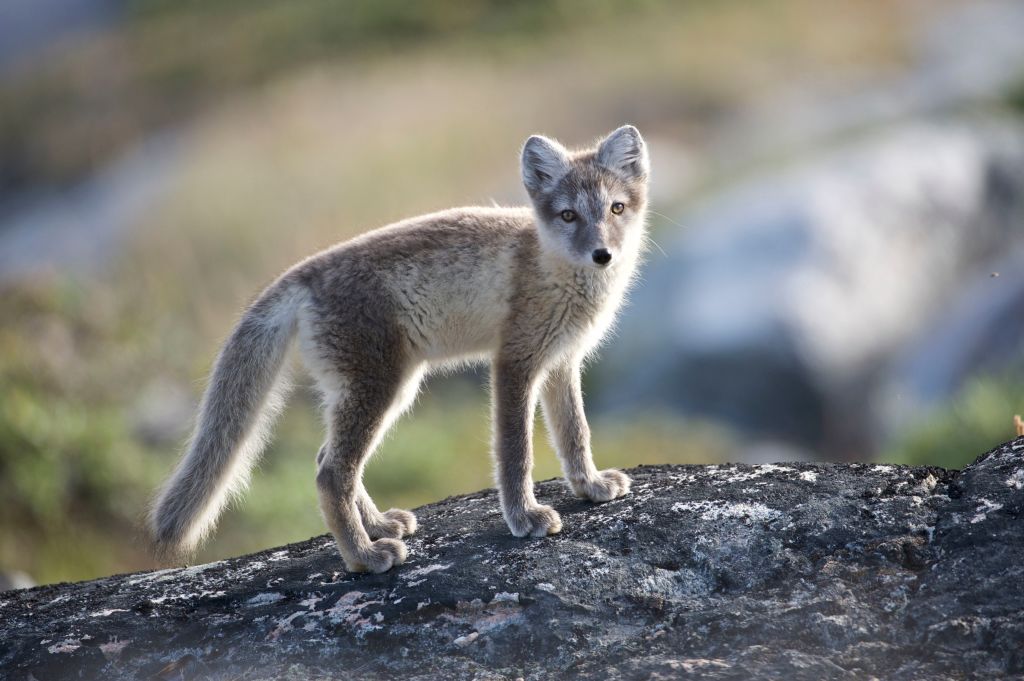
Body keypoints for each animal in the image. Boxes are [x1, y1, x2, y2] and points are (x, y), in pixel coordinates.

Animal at [150, 125, 650, 573]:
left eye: (616, 208)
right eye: (568, 216)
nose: (602, 254)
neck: (553, 270)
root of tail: (303, 273)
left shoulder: (562, 362)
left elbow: (575, 433)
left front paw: (589, 486)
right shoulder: (514, 363)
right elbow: (516, 451)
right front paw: (525, 517)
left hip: (389, 390)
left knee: (327, 460)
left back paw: (378, 527)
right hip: (379, 388)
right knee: (331, 474)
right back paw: (365, 558)